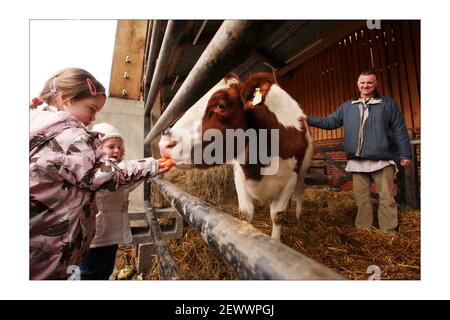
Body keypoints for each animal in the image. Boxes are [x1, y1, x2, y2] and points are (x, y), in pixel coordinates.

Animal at [159, 72, 312, 241]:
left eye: (221, 105)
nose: (165, 144)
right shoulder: (239, 175)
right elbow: (245, 213)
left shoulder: (290, 177)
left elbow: (277, 214)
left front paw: (275, 241)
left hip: (303, 169)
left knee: (299, 189)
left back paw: (299, 215)